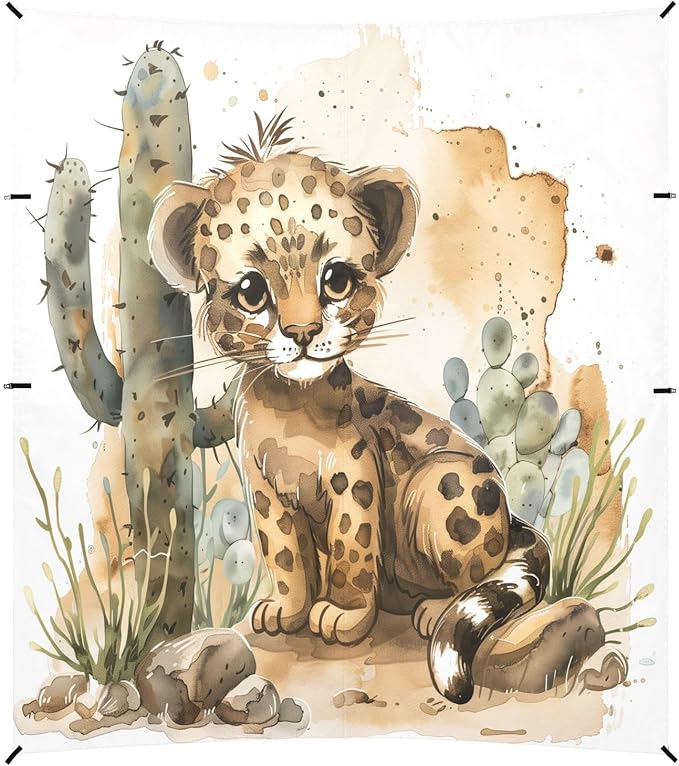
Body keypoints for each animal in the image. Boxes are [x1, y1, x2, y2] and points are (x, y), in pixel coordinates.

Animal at [148, 146, 552, 704]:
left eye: (336, 279)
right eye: (251, 290)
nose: (301, 332)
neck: (287, 408)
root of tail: (513, 521)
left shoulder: (353, 478)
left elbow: (350, 547)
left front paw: (342, 613)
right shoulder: (266, 491)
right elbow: (285, 555)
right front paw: (288, 609)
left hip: (442, 483)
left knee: (479, 569)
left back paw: (433, 609)